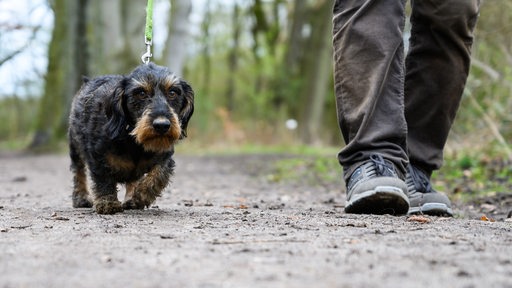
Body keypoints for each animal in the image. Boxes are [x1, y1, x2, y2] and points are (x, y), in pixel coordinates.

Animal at [68, 64, 194, 215]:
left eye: (173, 92)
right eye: (141, 93)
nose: (162, 125)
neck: (134, 141)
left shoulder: (165, 157)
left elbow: (158, 175)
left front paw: (139, 197)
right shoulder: (97, 156)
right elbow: (103, 179)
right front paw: (107, 203)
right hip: (75, 145)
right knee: (78, 171)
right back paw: (81, 198)